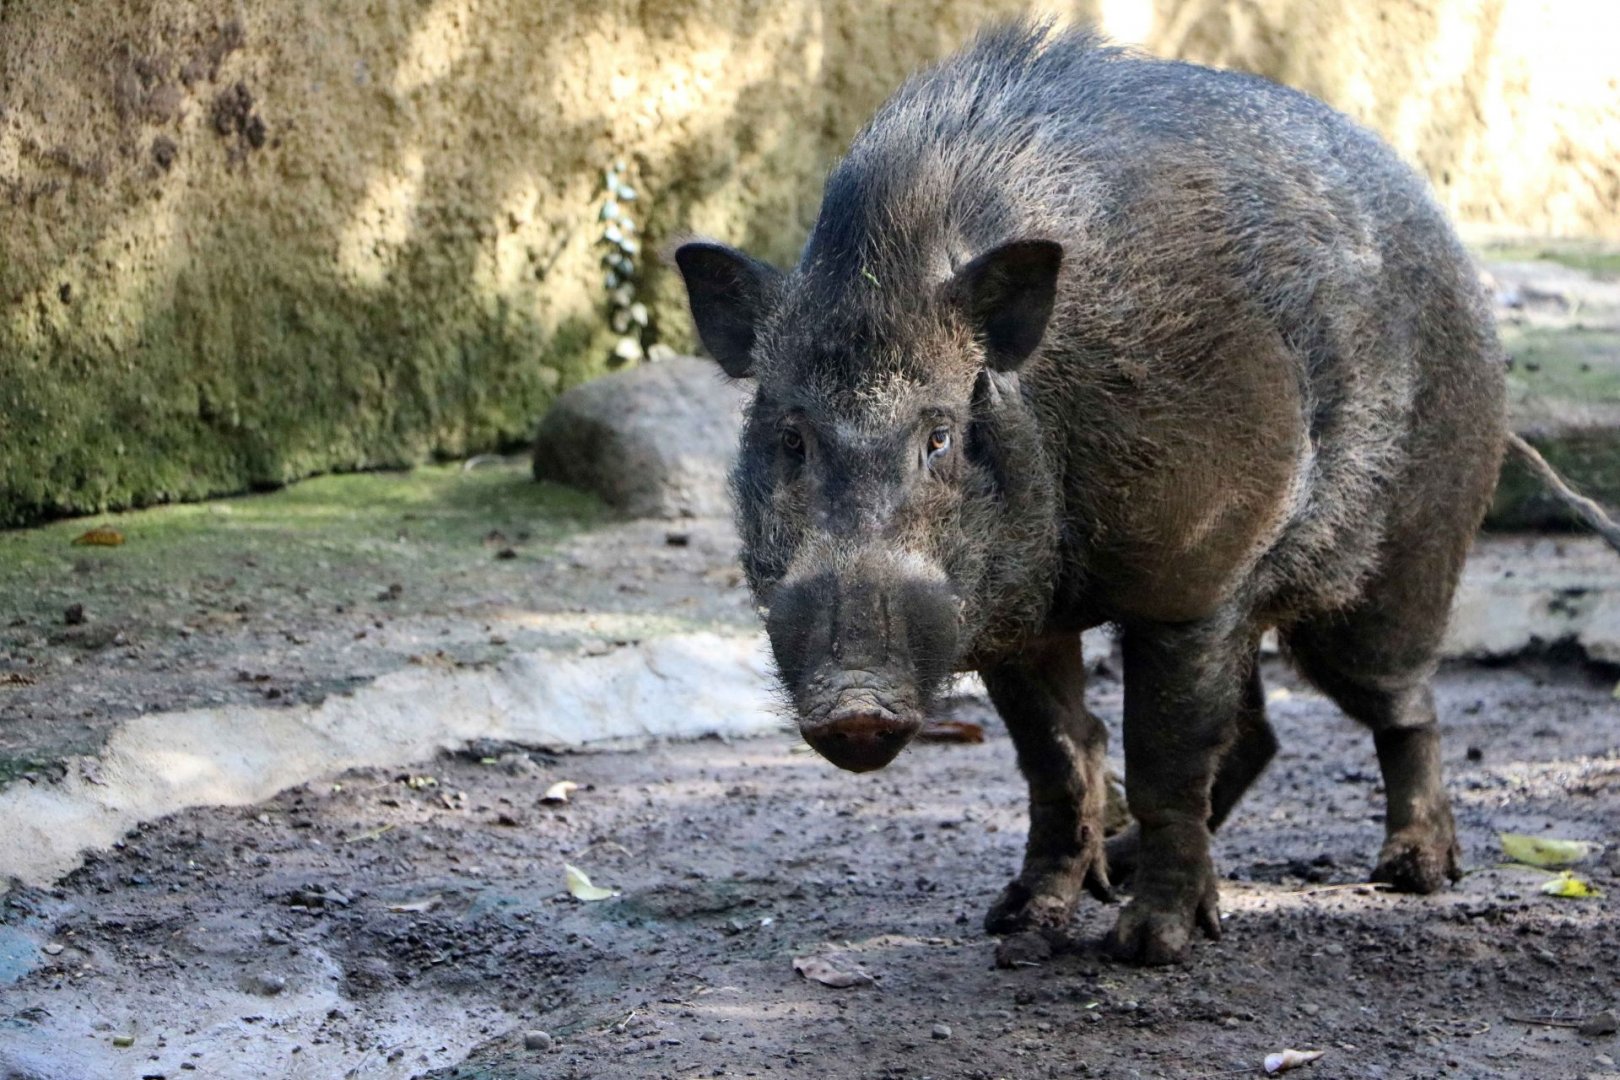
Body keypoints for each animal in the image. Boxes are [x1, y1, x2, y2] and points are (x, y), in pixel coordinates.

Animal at [673, 21, 1506, 964]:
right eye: (791, 437)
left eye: (939, 435)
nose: (857, 710)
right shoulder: (1016, 624)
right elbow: (1059, 758)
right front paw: (1018, 921)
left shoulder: (1194, 577)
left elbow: (1160, 757)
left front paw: (1149, 947)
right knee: (1260, 732)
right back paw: (1126, 864)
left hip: (1407, 553)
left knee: (1404, 703)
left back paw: (1414, 872)